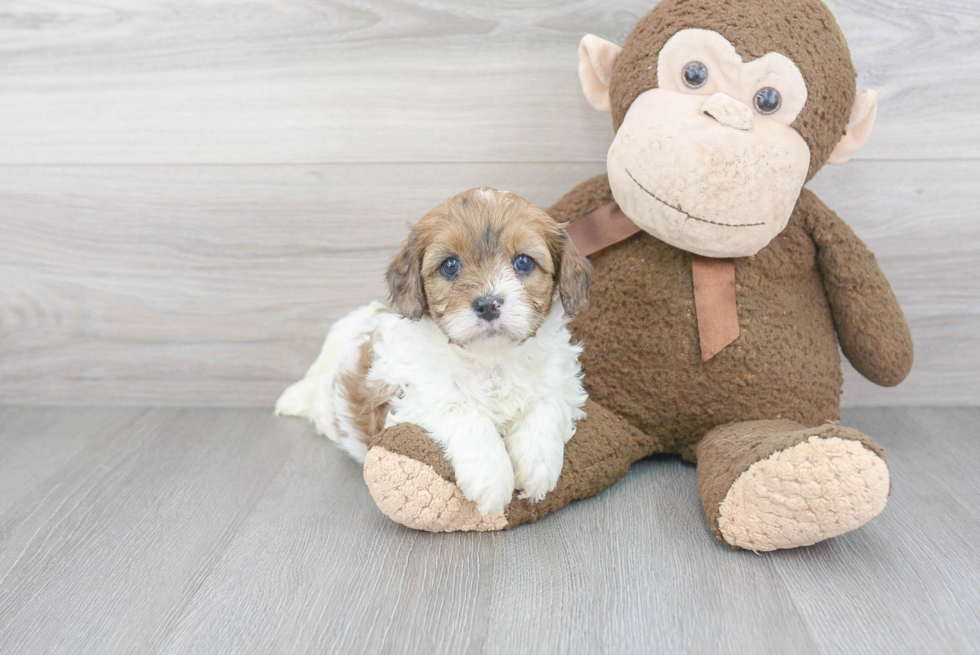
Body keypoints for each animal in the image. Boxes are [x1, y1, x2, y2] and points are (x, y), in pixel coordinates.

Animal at [280, 187, 592, 516]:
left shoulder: (561, 380)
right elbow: (462, 410)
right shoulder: (412, 395)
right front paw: (491, 476)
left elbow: (546, 403)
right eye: (450, 265)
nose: (487, 304)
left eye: (523, 262)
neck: (490, 360)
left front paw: (538, 465)